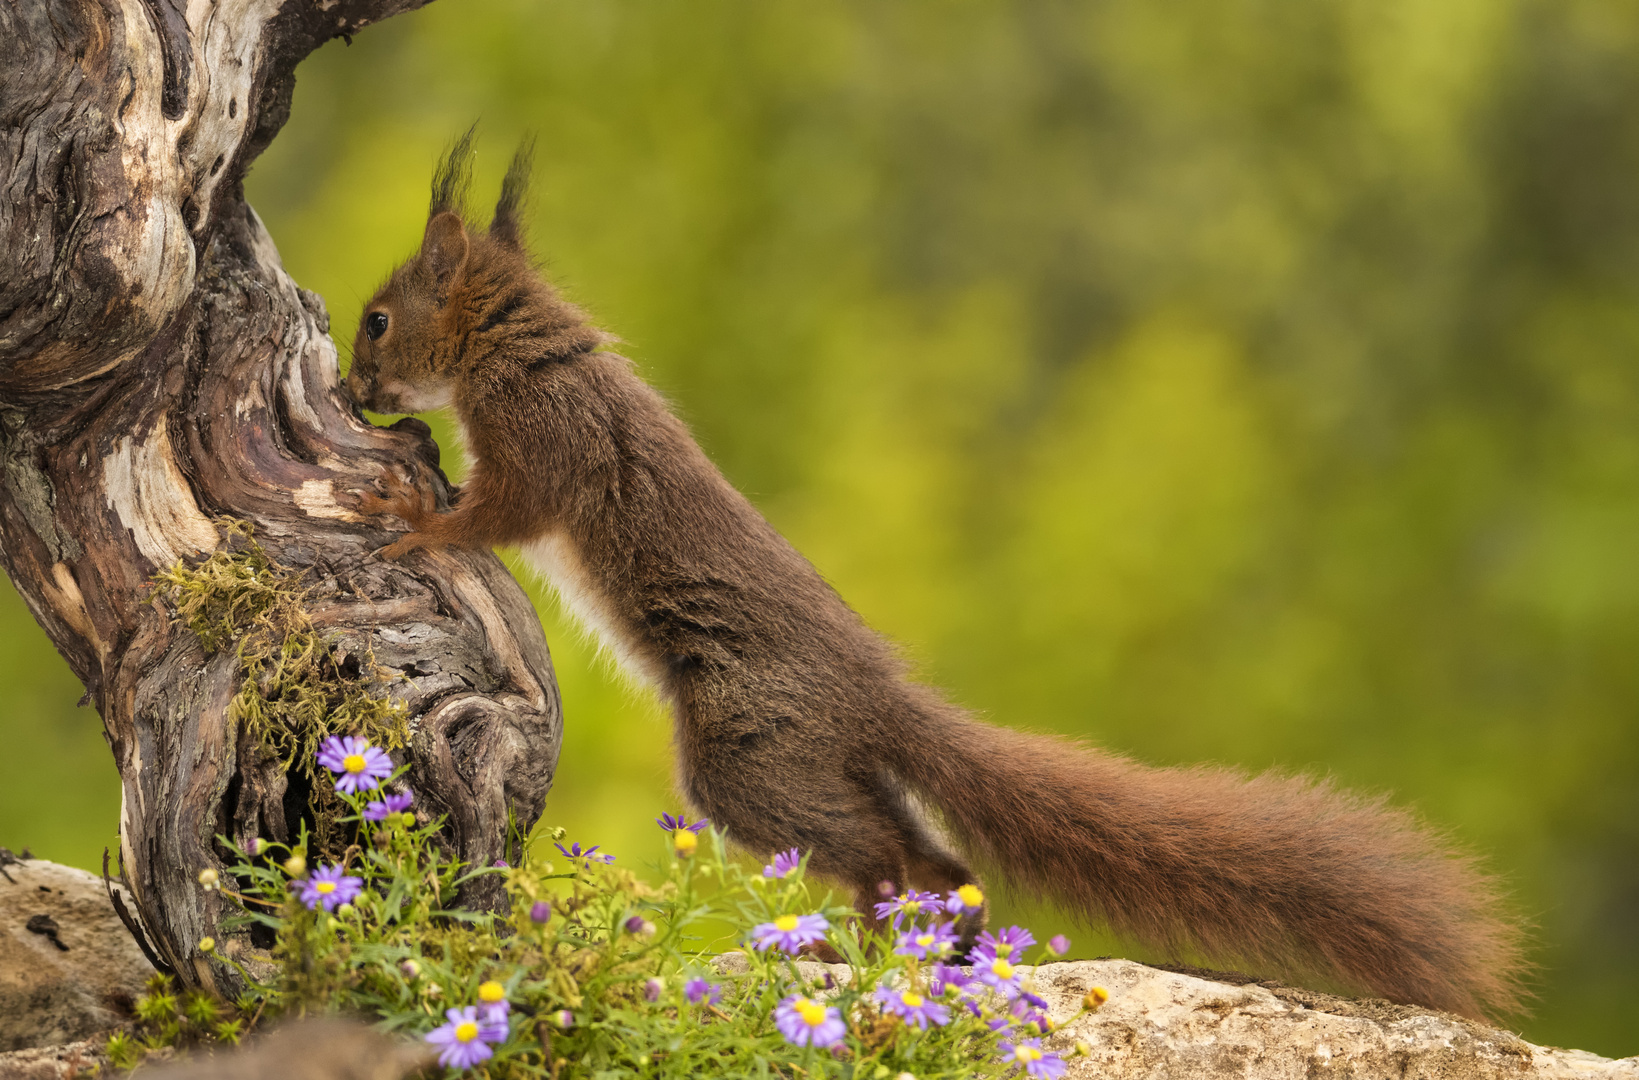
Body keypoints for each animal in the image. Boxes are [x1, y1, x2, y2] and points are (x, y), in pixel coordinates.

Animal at [345, 135, 1520, 1022]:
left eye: (376, 320)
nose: (356, 389)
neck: (521, 345)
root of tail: (878, 701)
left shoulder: (549, 441)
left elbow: (499, 512)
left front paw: (410, 517)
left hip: (752, 757)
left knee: (883, 858)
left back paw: (856, 955)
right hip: (806, 763)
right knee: (937, 867)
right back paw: (926, 954)